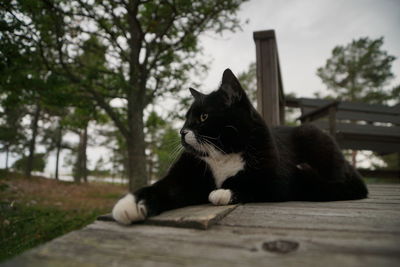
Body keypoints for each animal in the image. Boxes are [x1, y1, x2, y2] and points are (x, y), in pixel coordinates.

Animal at [111, 69, 368, 226]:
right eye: (185, 118)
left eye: (203, 117)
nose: (182, 132)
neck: (222, 154)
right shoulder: (185, 176)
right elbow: (164, 186)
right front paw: (132, 204)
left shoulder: (279, 181)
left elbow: (252, 185)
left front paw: (223, 192)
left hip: (313, 136)